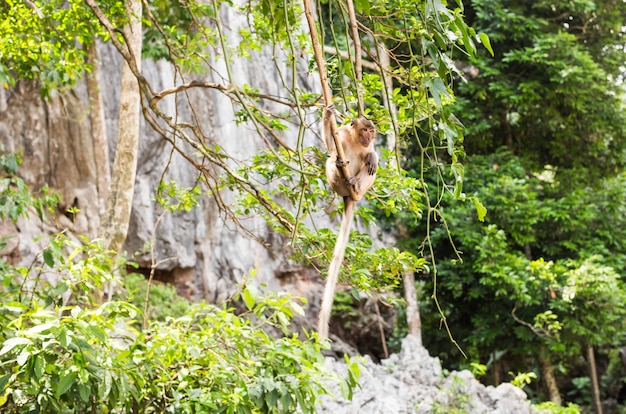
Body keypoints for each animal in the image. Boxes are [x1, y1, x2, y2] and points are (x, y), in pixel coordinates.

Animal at [316, 106, 376, 340]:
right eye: (365, 130)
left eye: (372, 131)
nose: (370, 136)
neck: (355, 140)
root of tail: (347, 195)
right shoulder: (340, 134)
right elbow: (331, 146)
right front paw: (327, 114)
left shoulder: (367, 146)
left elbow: (372, 155)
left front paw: (373, 155)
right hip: (336, 184)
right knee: (331, 160)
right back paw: (340, 167)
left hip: (360, 185)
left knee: (370, 168)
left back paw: (356, 187)